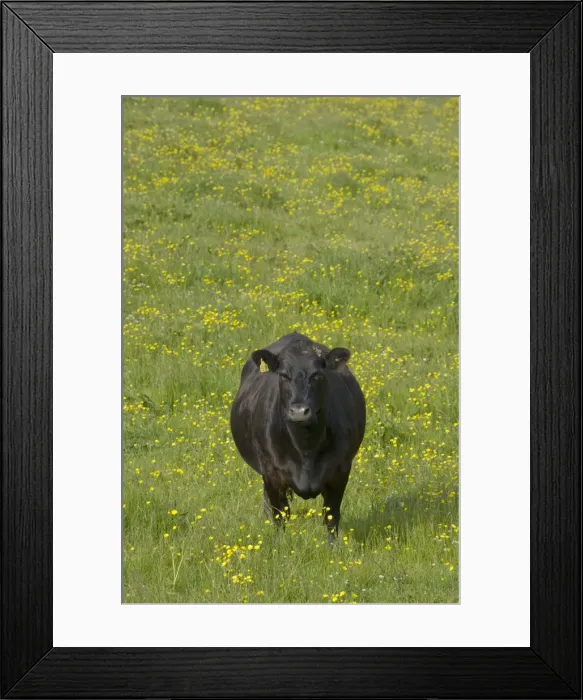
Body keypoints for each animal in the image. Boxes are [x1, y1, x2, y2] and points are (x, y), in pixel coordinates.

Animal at [230, 332, 366, 541]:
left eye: (317, 375)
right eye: (284, 375)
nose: (299, 411)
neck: (305, 449)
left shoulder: (340, 469)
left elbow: (331, 514)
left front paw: (333, 545)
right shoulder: (271, 472)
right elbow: (280, 514)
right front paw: (281, 543)